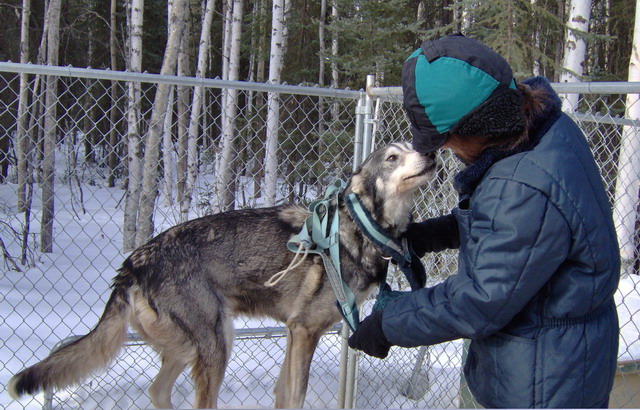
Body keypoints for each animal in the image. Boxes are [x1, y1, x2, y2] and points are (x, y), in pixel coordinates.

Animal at [7, 141, 438, 406]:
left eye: (412, 148)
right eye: (393, 158)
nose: (432, 151)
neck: (360, 229)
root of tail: (133, 263)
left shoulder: (294, 333)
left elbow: (283, 395)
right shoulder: (304, 332)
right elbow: (294, 396)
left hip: (196, 346)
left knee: (157, 391)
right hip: (217, 344)